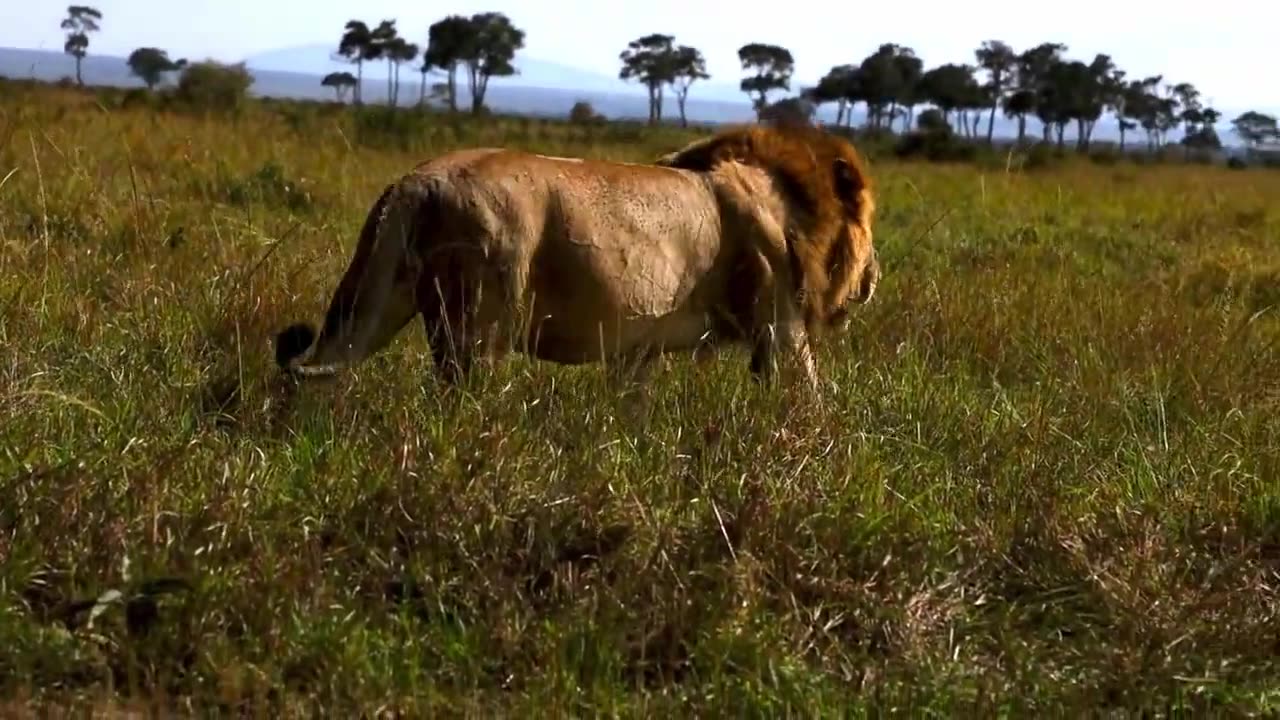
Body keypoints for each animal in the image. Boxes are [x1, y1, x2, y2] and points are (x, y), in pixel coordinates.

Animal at [275, 122, 880, 392]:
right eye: (872, 224)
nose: (875, 275)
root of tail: (417, 181)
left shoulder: (640, 347)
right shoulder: (782, 326)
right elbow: (806, 395)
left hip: (379, 297)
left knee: (320, 367)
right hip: (480, 324)